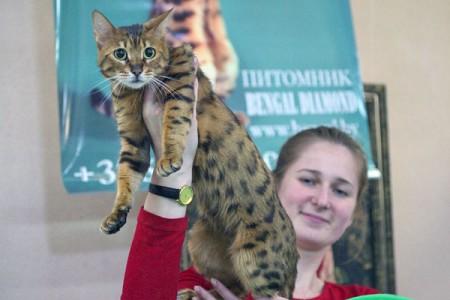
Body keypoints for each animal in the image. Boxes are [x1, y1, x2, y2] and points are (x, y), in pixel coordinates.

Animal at [91, 8, 298, 298]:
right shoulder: (133, 141)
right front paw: (116, 215)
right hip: (200, 241)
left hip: (256, 262)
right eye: (120, 53)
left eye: (149, 52)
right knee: (230, 287)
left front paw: (169, 157)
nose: (136, 70)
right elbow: (124, 177)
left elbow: (174, 120)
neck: (136, 94)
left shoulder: (181, 77)